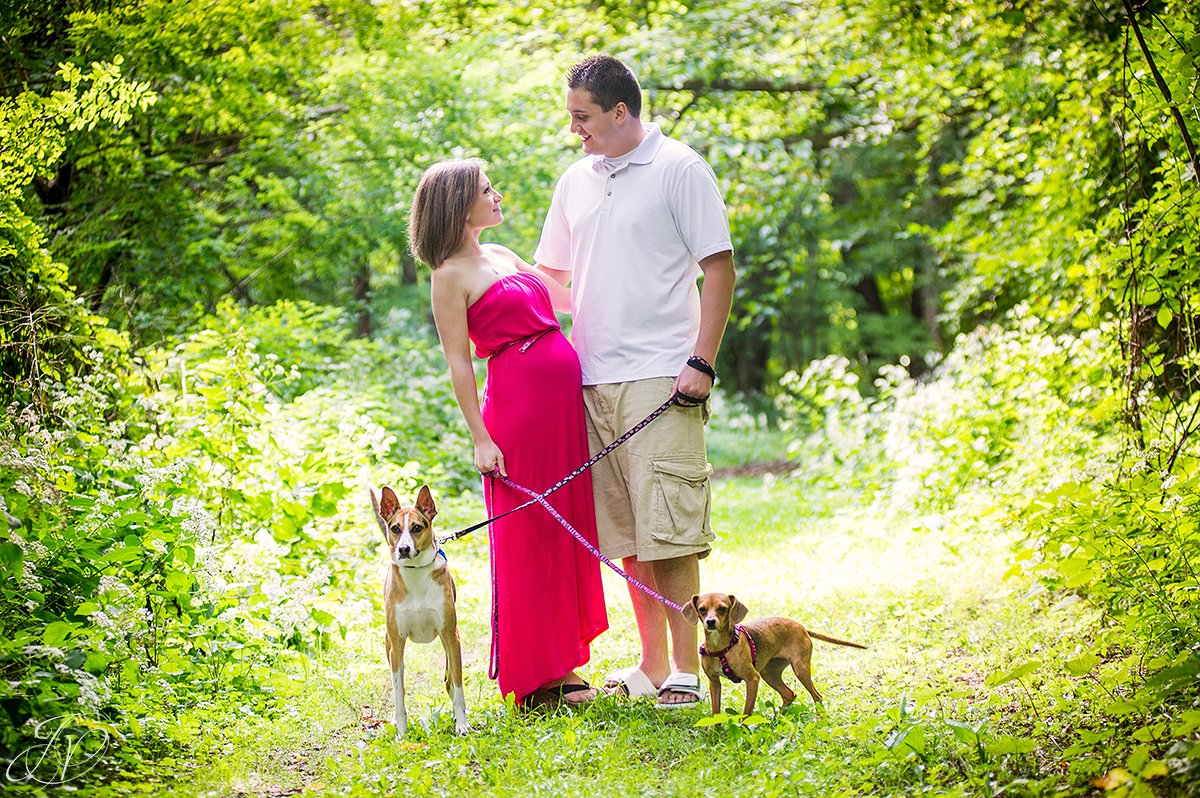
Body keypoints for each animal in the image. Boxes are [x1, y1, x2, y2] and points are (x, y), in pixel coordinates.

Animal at [369, 482, 468, 739]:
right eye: (395, 528)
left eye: (416, 527)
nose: (403, 549)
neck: (416, 574)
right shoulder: (396, 644)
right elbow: (398, 694)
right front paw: (402, 733)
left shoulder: (451, 635)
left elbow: (458, 686)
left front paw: (462, 725)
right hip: (389, 645)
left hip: (447, 642)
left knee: (450, 678)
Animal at [686, 590, 864, 715]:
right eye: (702, 609)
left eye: (722, 608)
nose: (710, 622)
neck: (721, 649)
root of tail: (802, 627)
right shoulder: (714, 683)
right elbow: (715, 713)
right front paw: (714, 731)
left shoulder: (753, 679)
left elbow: (746, 713)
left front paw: (744, 729)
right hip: (770, 674)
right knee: (789, 694)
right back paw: (777, 717)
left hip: (800, 670)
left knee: (817, 697)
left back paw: (818, 718)